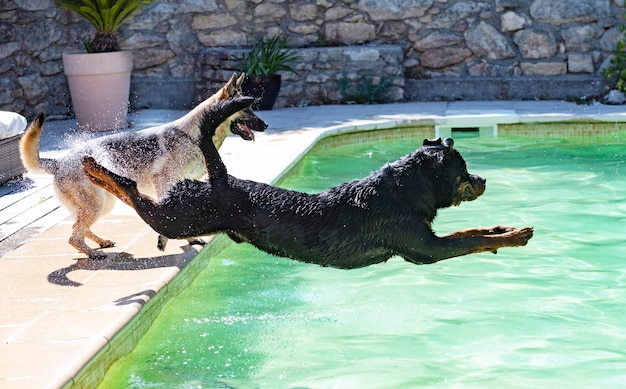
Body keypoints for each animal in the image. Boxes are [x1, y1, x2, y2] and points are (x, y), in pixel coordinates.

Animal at [19, 74, 266, 260]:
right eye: (248, 109)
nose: (265, 125)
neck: (193, 135)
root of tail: (58, 162)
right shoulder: (164, 183)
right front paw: (184, 239)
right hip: (96, 205)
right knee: (73, 236)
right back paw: (93, 254)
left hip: (102, 204)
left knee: (79, 229)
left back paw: (101, 242)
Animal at [83, 96, 532, 266]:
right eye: (463, 172)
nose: (483, 179)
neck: (403, 192)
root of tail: (221, 178)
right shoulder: (425, 250)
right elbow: (470, 240)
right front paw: (512, 237)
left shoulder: (428, 240)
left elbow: (473, 232)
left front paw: (502, 229)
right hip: (178, 220)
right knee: (134, 195)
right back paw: (97, 171)